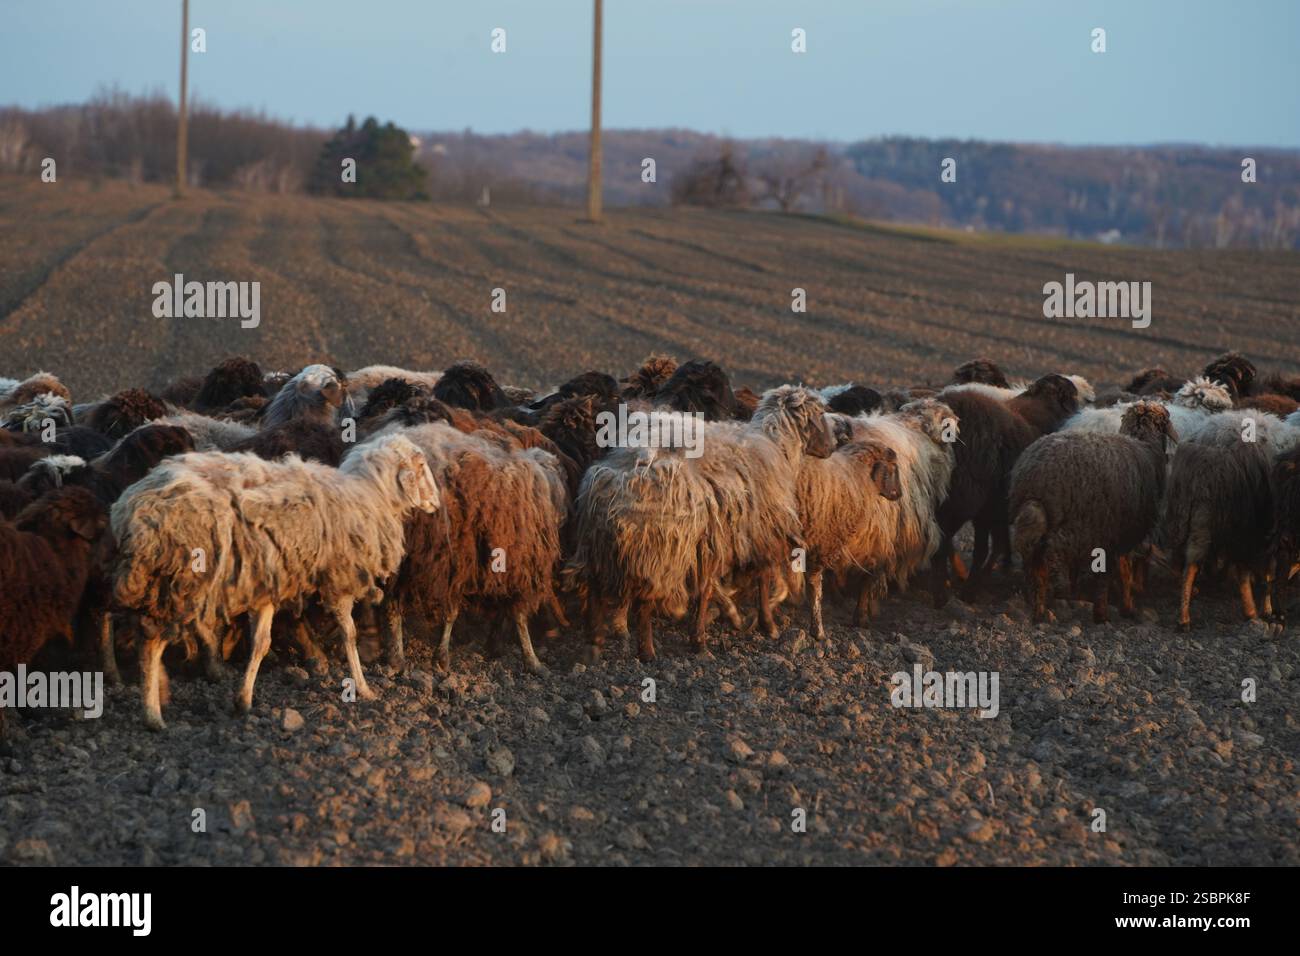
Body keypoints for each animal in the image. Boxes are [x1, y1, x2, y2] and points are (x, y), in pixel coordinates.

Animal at [110, 432, 439, 728]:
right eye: (422, 466)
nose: (436, 503)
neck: (371, 495)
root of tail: (132, 507)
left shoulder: (266, 585)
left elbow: (261, 643)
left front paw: (243, 699)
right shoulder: (340, 578)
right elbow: (349, 634)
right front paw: (364, 687)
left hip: (161, 580)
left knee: (144, 634)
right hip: (183, 580)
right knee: (152, 643)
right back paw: (153, 714)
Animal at [380, 422, 568, 672]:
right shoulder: (516, 562)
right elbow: (517, 614)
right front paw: (531, 659)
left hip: (405, 556)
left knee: (393, 604)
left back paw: (396, 658)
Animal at [566, 386, 836, 661]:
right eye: (820, 415)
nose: (832, 447)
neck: (777, 444)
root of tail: (611, 484)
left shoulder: (710, 541)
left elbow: (705, 590)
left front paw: (699, 637)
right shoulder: (760, 530)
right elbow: (761, 577)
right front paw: (767, 625)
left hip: (600, 545)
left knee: (595, 588)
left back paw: (595, 642)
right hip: (656, 550)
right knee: (643, 601)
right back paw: (646, 651)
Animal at [1011, 402, 1176, 623]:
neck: (1146, 448)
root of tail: (1035, 481)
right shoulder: (1121, 533)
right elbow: (1122, 574)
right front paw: (1125, 608)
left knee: (1035, 568)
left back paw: (1038, 609)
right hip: (1080, 528)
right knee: (1053, 562)